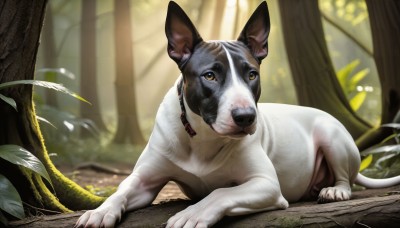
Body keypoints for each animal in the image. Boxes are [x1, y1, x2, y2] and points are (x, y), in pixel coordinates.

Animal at [76, 1, 400, 228]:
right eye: (209, 75)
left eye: (252, 74)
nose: (246, 117)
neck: (203, 137)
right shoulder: (145, 179)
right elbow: (122, 189)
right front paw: (99, 211)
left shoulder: (265, 184)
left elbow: (220, 193)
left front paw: (193, 213)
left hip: (332, 136)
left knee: (346, 178)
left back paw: (335, 191)